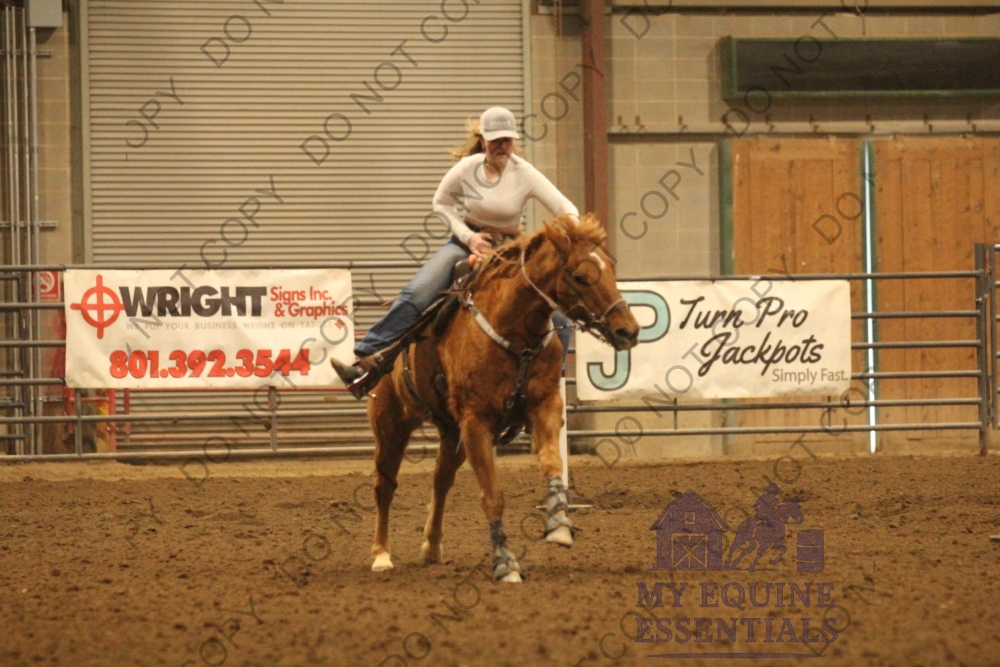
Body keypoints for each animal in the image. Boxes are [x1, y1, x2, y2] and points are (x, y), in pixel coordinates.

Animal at [362, 213, 639, 582]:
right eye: (581, 276)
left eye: (610, 269)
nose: (629, 331)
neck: (513, 330)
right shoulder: (476, 422)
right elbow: (492, 496)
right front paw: (505, 564)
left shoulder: (545, 405)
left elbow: (552, 463)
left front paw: (559, 524)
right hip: (391, 423)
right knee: (385, 485)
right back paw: (381, 555)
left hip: (451, 432)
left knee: (441, 480)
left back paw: (432, 547)